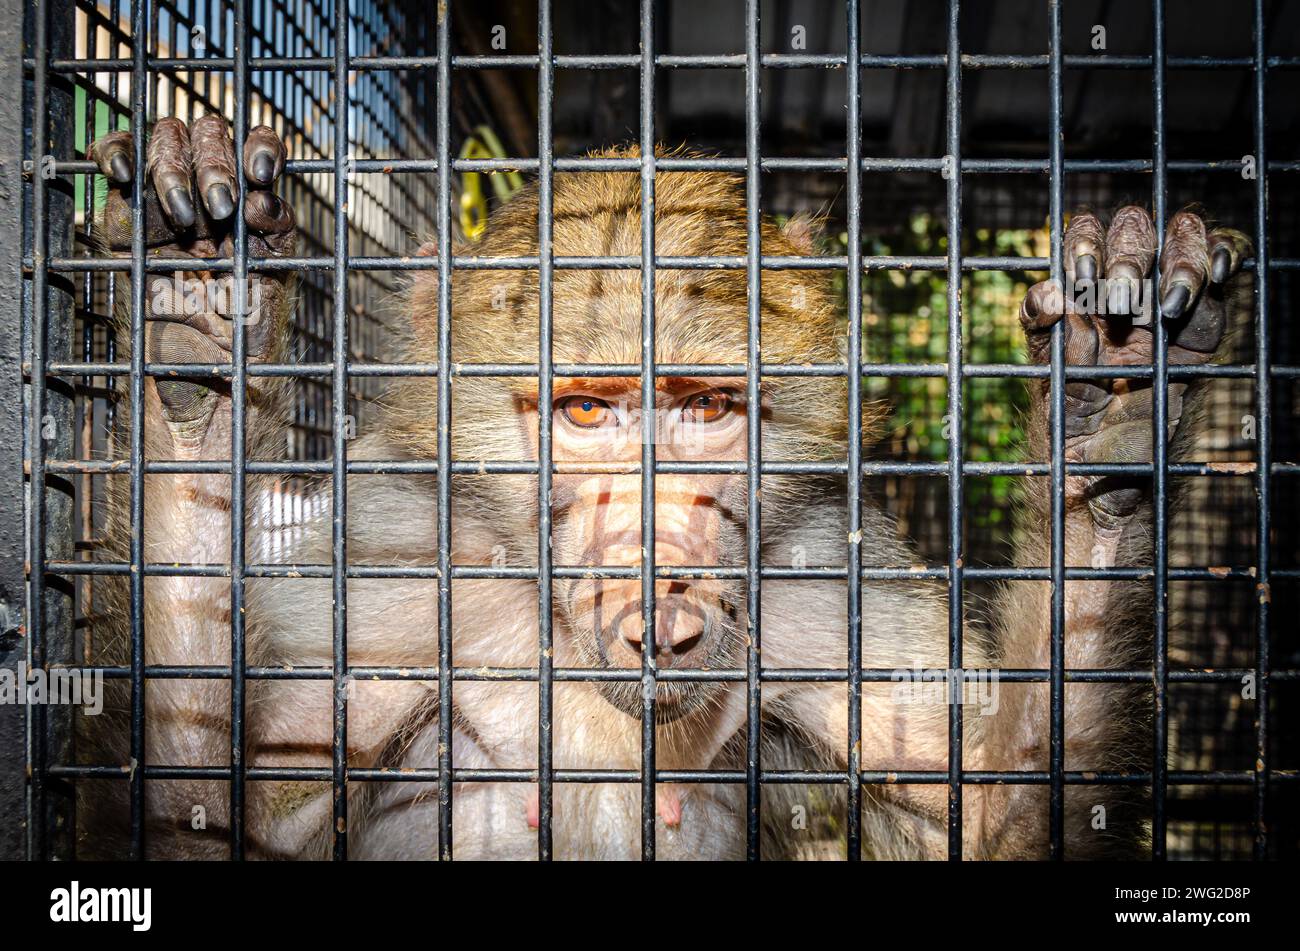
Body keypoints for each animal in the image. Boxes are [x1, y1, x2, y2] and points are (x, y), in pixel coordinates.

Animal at [73, 116, 1248, 862]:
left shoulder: (824, 590)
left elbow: (993, 814)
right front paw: (194, 322)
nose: (662, 603)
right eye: (588, 412)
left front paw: (1110, 391)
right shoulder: (387, 579)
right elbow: (218, 818)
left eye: (708, 408)